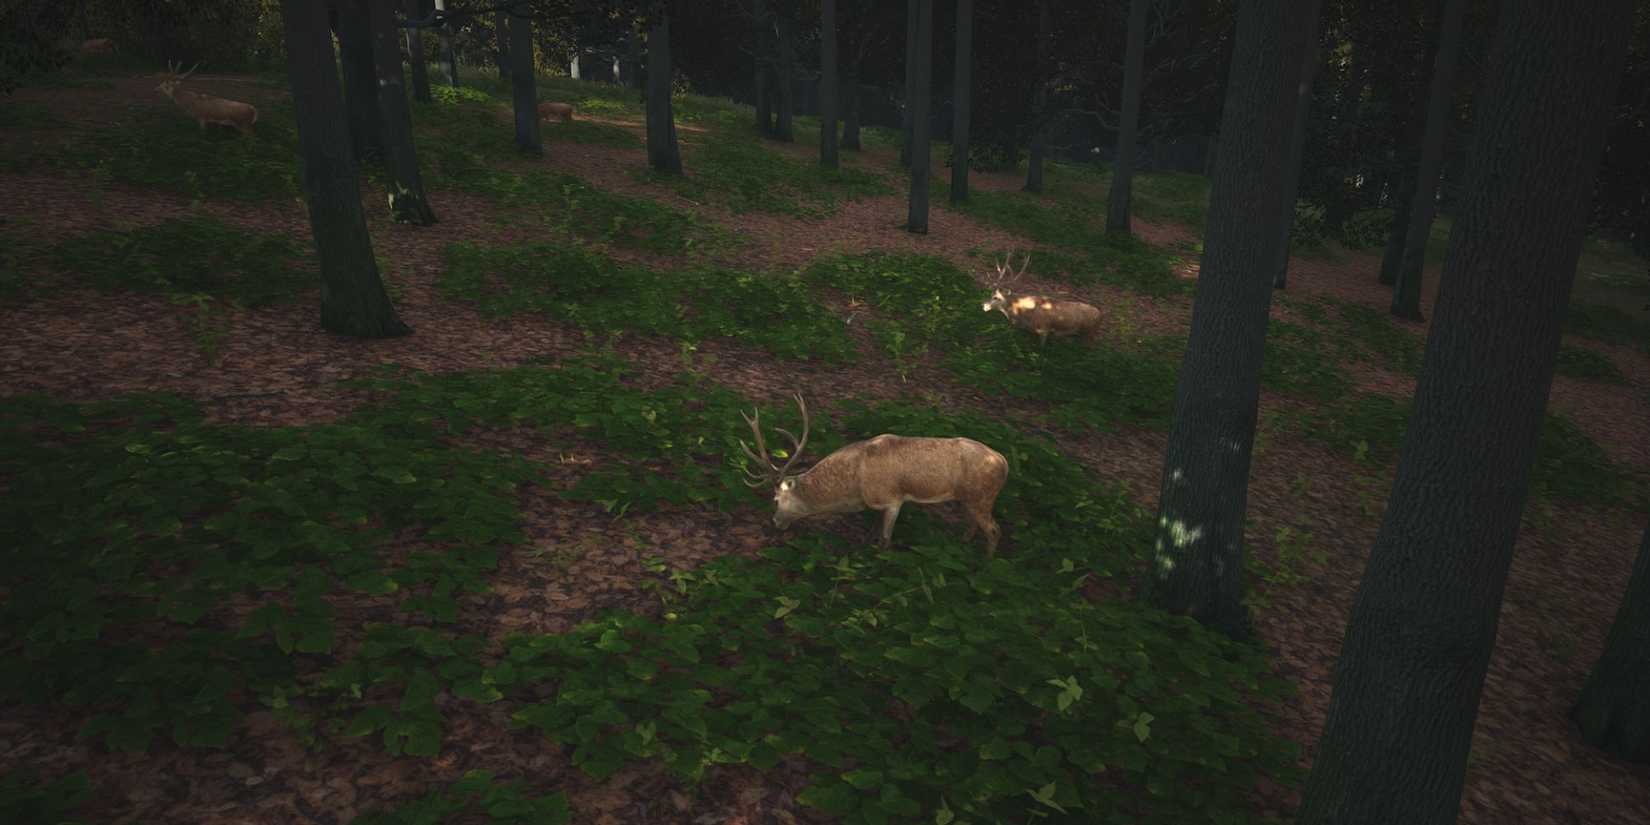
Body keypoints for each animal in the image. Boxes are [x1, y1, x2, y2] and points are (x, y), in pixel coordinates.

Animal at [739, 393, 1010, 556]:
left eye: (775, 499)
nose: (774, 522)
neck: (857, 486)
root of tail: (1004, 463)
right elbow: (875, 531)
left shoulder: (893, 499)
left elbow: (886, 540)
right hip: (969, 498)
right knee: (973, 524)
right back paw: (963, 544)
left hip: (983, 496)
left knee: (995, 530)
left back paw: (986, 562)